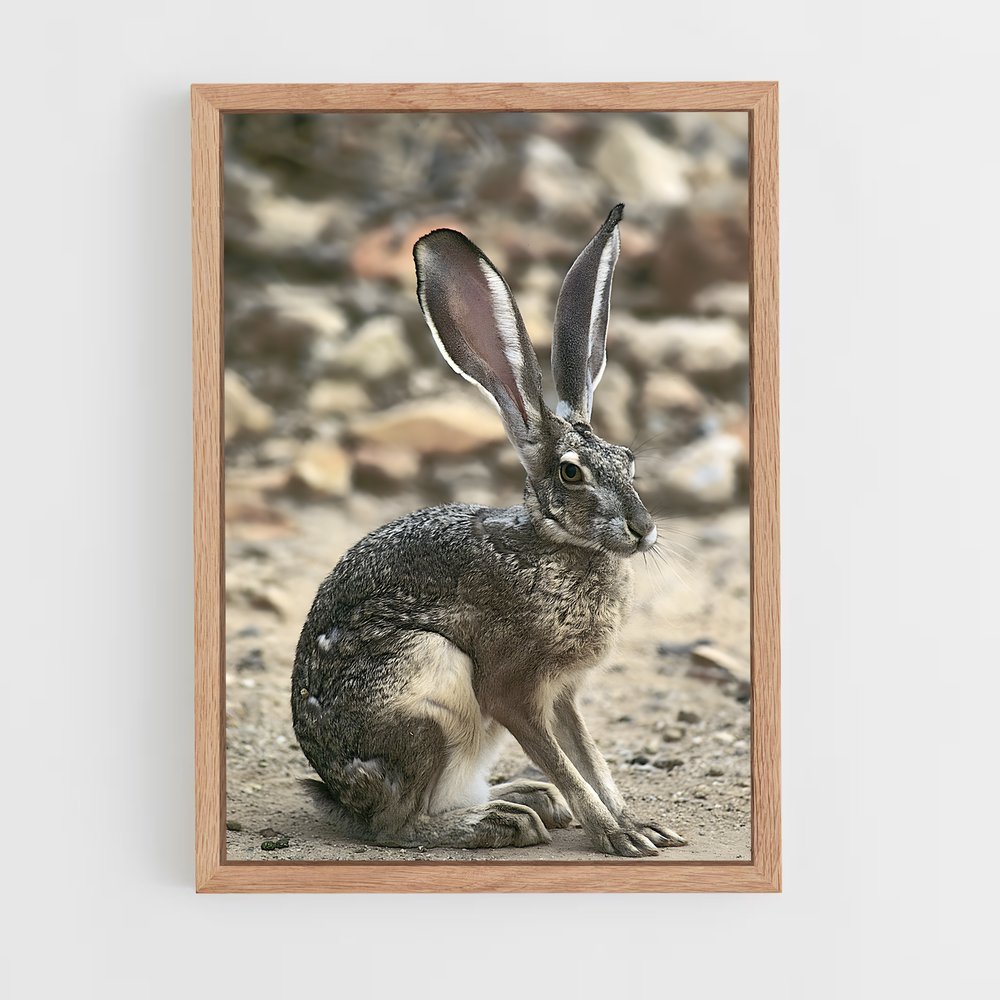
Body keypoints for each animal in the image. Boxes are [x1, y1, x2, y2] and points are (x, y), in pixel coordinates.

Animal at [291, 204, 687, 857]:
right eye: (571, 473)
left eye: (627, 459)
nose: (642, 529)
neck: (559, 546)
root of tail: (339, 794)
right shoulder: (513, 689)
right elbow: (568, 765)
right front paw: (617, 835)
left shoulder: (563, 695)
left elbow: (590, 759)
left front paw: (637, 824)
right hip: (425, 690)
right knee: (398, 824)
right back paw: (500, 822)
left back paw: (526, 800)